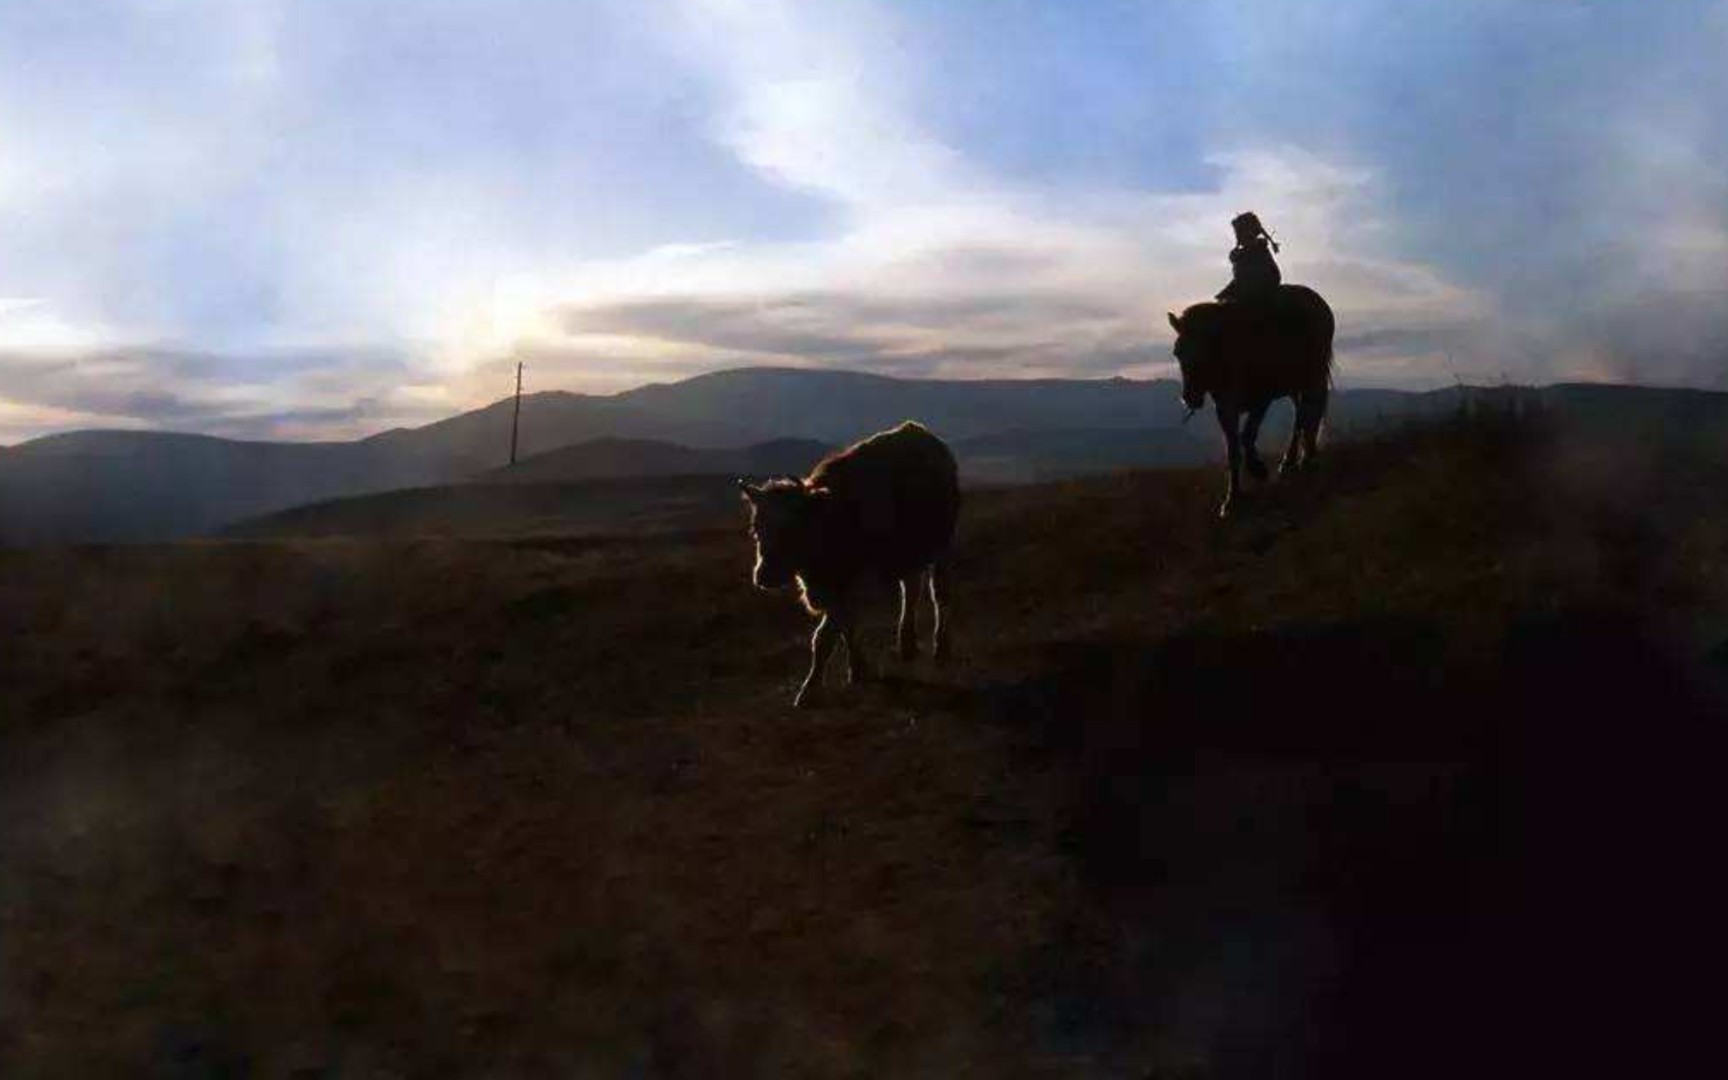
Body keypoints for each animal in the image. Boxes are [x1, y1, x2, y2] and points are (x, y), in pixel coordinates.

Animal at [739, 419, 967, 708]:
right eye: (756, 529)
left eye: (792, 529)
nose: (764, 575)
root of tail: (921, 433)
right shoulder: (836, 589)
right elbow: (848, 627)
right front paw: (858, 669)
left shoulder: (853, 584)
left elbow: (824, 637)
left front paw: (809, 690)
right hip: (905, 555)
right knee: (911, 589)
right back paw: (906, 644)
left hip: (941, 547)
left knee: (940, 594)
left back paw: (941, 649)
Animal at [1175, 278, 1334, 514]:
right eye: (1177, 352)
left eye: (1205, 351)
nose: (1189, 398)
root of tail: (1320, 303)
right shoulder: (1225, 409)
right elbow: (1232, 449)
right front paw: (1232, 500)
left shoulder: (1261, 400)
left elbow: (1247, 435)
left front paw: (1258, 469)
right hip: (1294, 384)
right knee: (1301, 415)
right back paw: (1290, 460)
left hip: (1313, 376)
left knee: (1310, 411)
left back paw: (1307, 457)